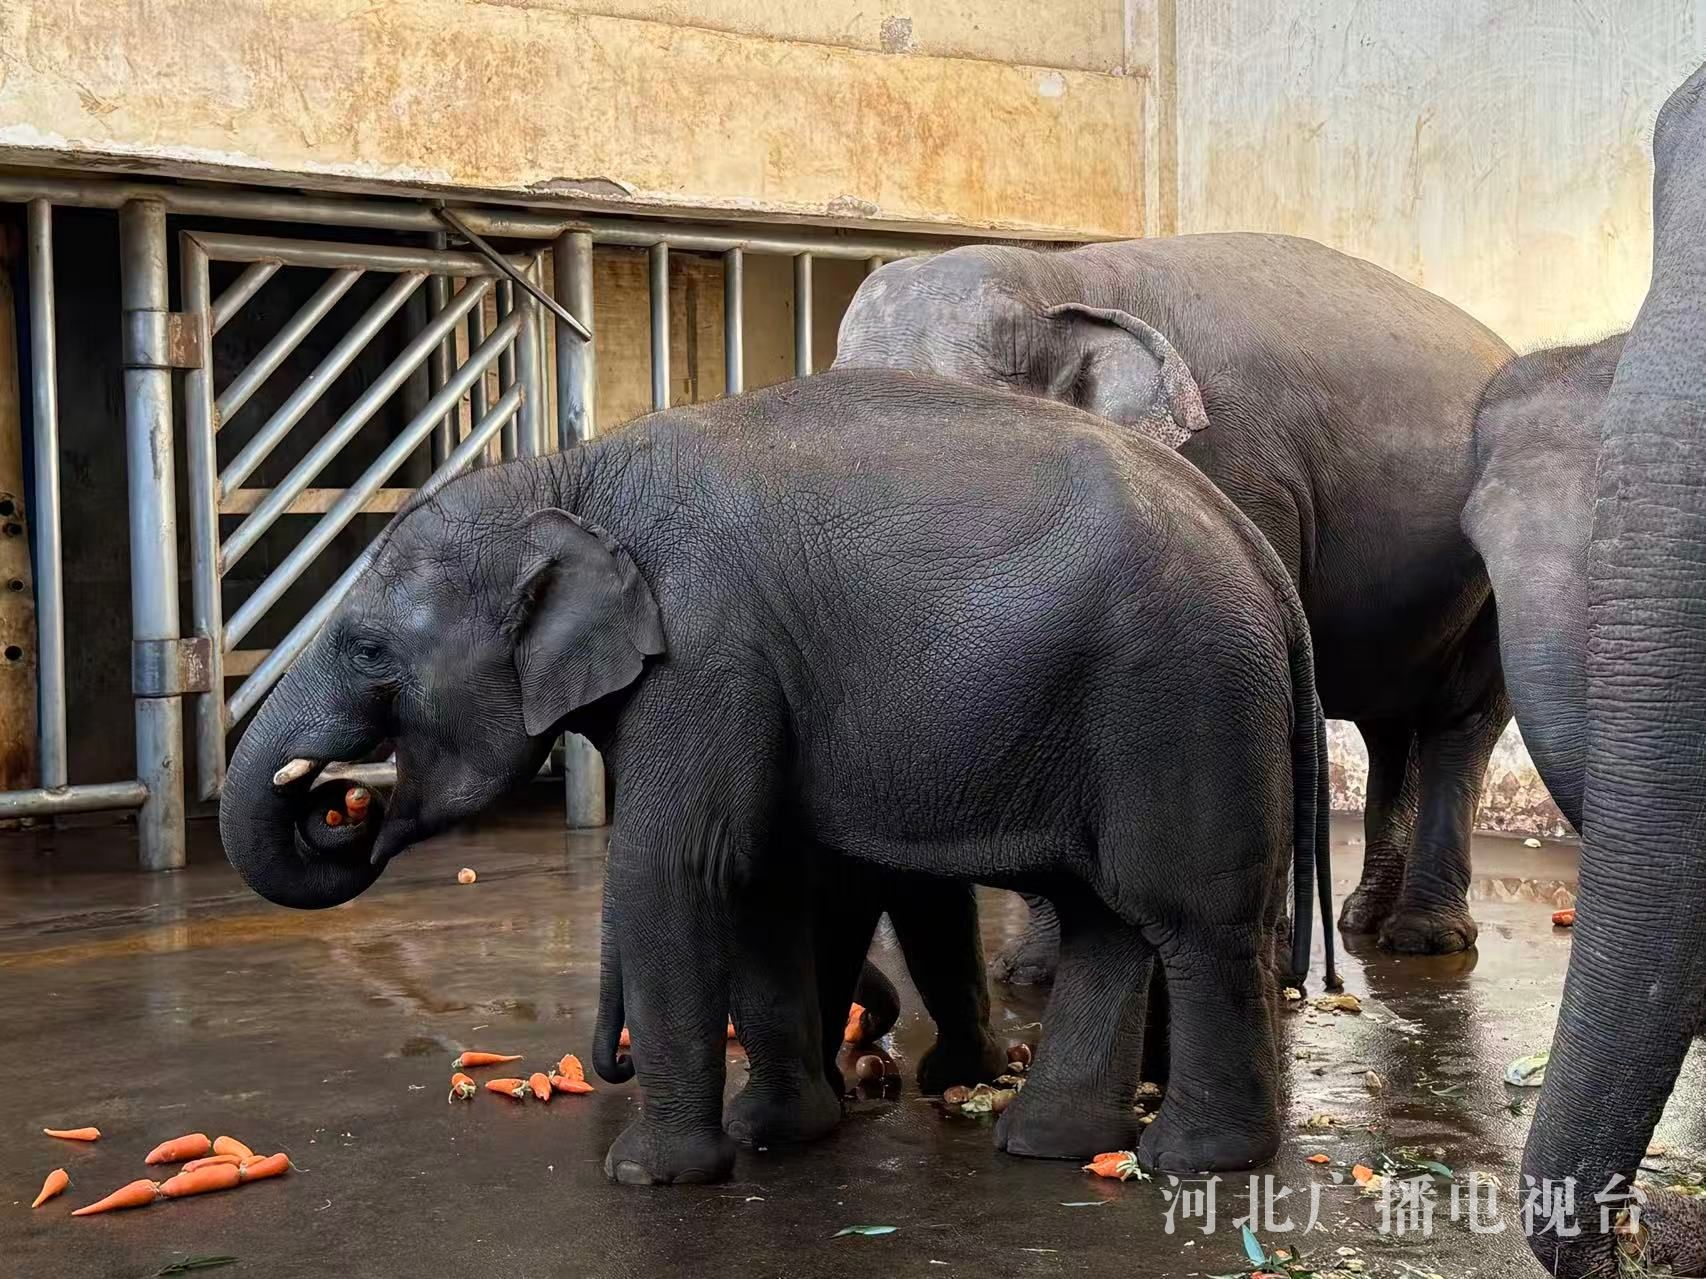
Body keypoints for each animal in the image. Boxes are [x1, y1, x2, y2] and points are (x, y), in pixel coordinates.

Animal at [219, 367, 1329, 1187]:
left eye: (367, 650)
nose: (333, 802)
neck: (573, 476)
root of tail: (1261, 559)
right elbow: (761, 879)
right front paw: (777, 1134)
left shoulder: (709, 653)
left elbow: (678, 869)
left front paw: (650, 1176)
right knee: (1104, 914)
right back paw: (1052, 1144)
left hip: (1180, 694)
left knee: (1187, 918)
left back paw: (1192, 1161)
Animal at [833, 232, 1514, 960]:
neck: (1063, 277)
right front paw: (1034, 969)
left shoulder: (1241, 476)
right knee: (1389, 728)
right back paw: (1365, 919)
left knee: (1460, 720)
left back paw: (1422, 938)